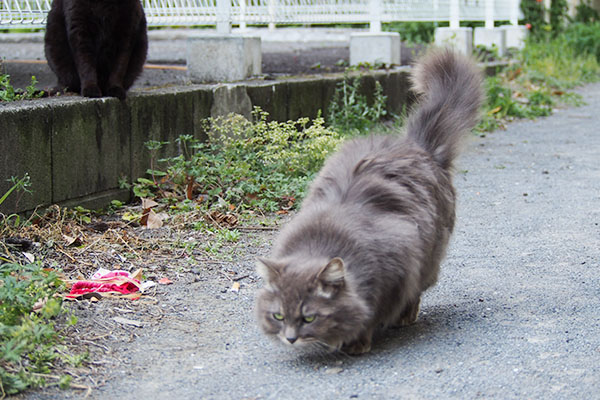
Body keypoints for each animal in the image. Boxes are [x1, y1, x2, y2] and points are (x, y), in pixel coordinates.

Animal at [255, 49, 486, 354]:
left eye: (309, 317)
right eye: (278, 316)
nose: (290, 338)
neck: (322, 241)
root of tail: (419, 147)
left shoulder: (398, 268)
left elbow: (374, 312)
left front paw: (357, 341)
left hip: (429, 256)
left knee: (417, 291)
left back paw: (405, 318)